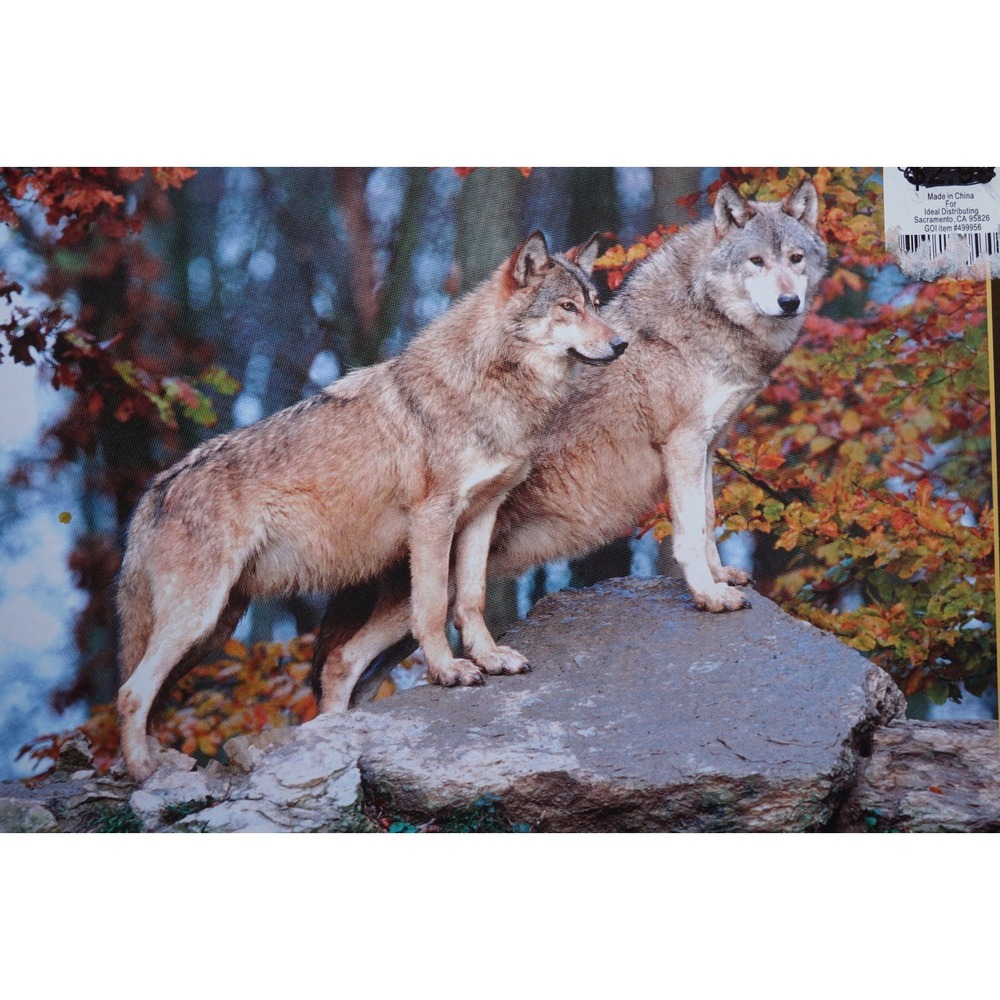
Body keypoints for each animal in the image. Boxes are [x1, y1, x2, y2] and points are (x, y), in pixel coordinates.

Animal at [115, 231, 626, 780]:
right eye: (568, 307)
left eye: (596, 304)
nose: (621, 343)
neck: (490, 384)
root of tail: (154, 491)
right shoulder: (433, 517)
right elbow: (433, 608)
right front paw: (448, 671)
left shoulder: (481, 515)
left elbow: (471, 599)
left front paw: (490, 659)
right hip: (199, 620)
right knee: (130, 692)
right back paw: (143, 772)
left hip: (213, 630)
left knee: (332, 663)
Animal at [312, 179, 829, 711]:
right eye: (756, 261)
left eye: (795, 258)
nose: (789, 302)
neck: (699, 320)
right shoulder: (683, 444)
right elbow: (689, 532)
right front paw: (708, 596)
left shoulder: (706, 447)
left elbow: (706, 521)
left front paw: (721, 577)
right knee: (343, 659)